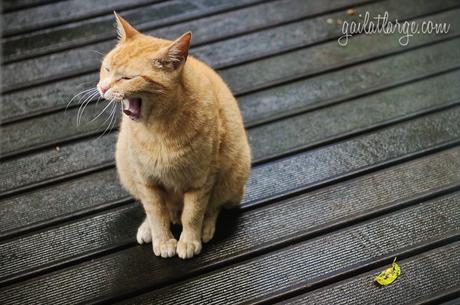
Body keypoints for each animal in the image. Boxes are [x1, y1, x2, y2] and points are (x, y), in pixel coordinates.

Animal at [97, 13, 252, 258]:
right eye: (107, 69)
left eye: (127, 78)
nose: (102, 88)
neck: (158, 131)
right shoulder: (146, 181)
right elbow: (156, 212)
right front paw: (162, 239)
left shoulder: (202, 180)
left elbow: (193, 213)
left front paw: (189, 239)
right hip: (125, 167)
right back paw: (148, 228)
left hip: (235, 173)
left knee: (214, 206)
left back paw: (206, 227)